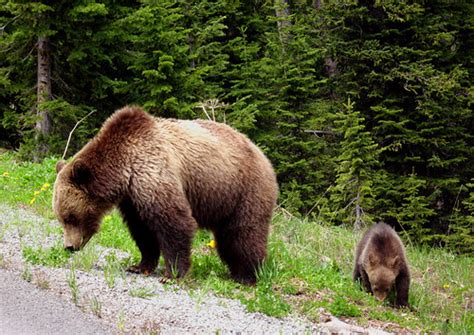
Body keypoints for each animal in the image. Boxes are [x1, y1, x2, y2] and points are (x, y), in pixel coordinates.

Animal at [52, 105, 278, 284]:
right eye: (61, 218)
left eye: (70, 217)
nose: (69, 246)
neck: (124, 170)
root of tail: (262, 155)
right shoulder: (132, 198)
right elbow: (142, 229)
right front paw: (140, 265)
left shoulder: (152, 172)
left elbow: (174, 222)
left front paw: (172, 274)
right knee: (227, 237)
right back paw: (237, 271)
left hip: (246, 189)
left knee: (244, 232)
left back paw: (248, 275)